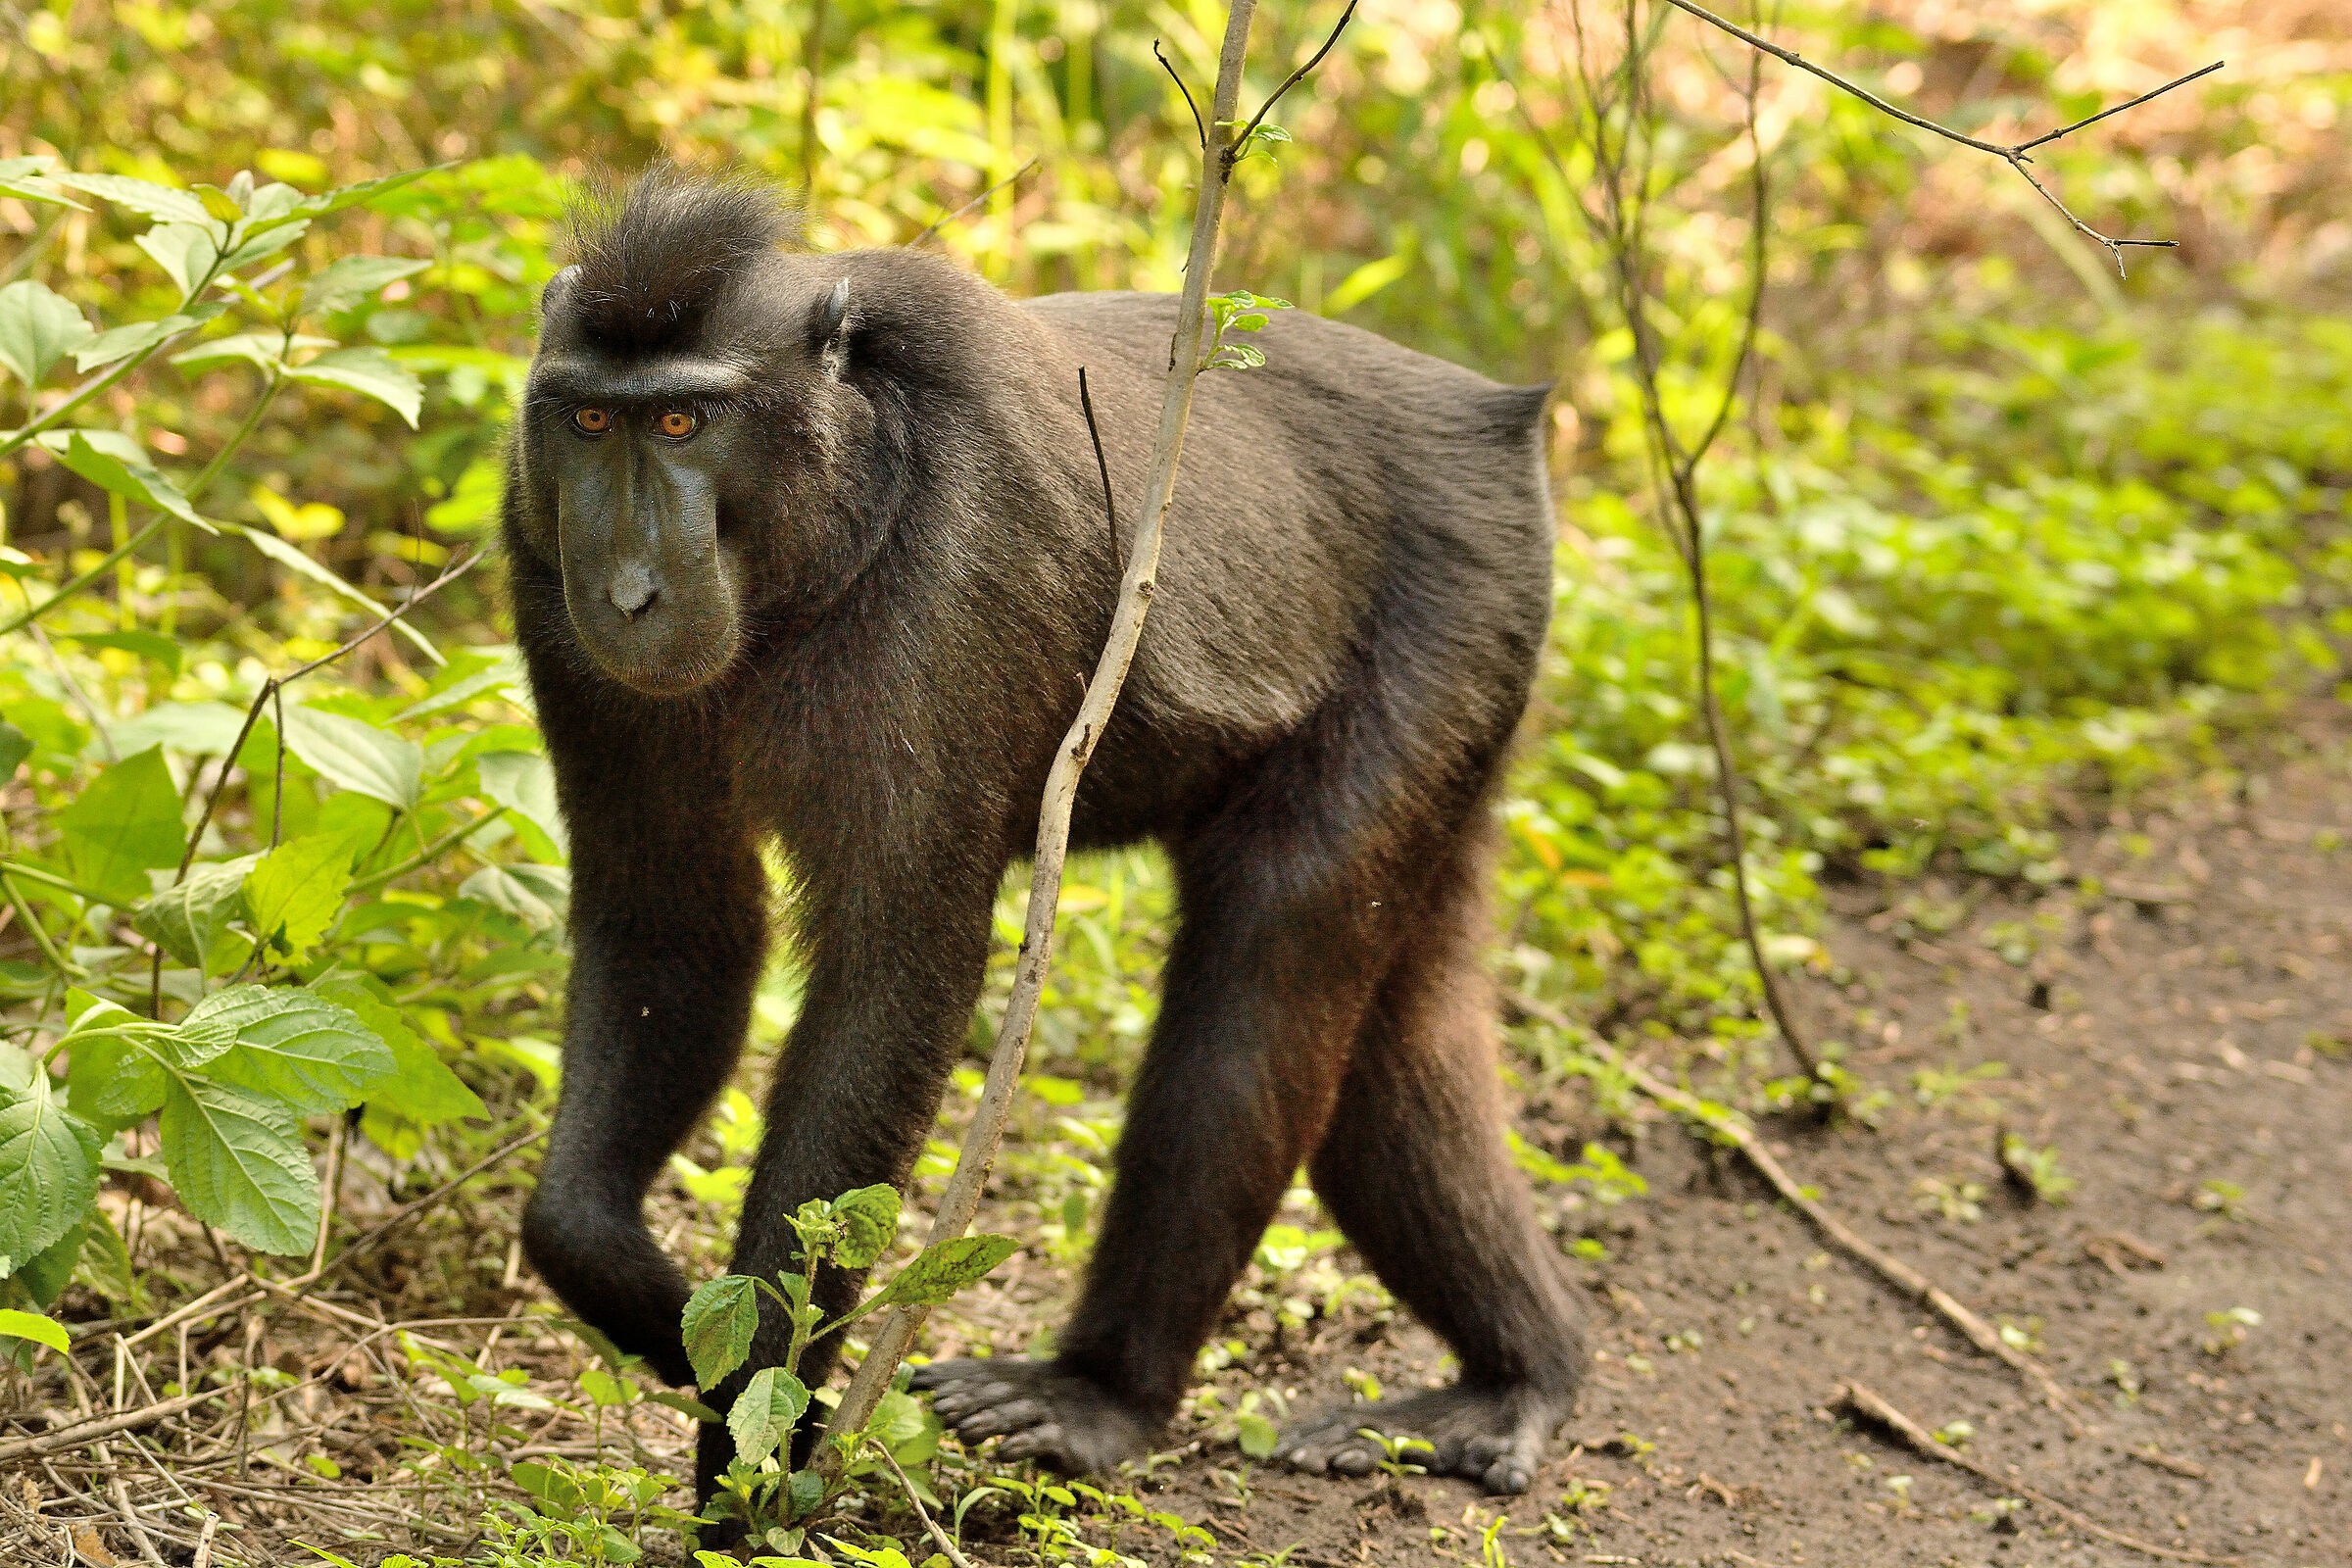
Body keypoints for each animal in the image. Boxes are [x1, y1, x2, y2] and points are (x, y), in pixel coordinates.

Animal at [506, 168, 1586, 1508]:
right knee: (1399, 1019)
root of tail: (1487, 416)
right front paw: (658, 1308)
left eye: (680, 425)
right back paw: (1522, 1369)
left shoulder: (967, 551)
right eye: (589, 424)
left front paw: (753, 1462)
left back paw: (1102, 1395)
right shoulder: (538, 558)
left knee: (1275, 957)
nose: (631, 590)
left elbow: (896, 974)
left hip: (1461, 606)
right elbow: (672, 928)